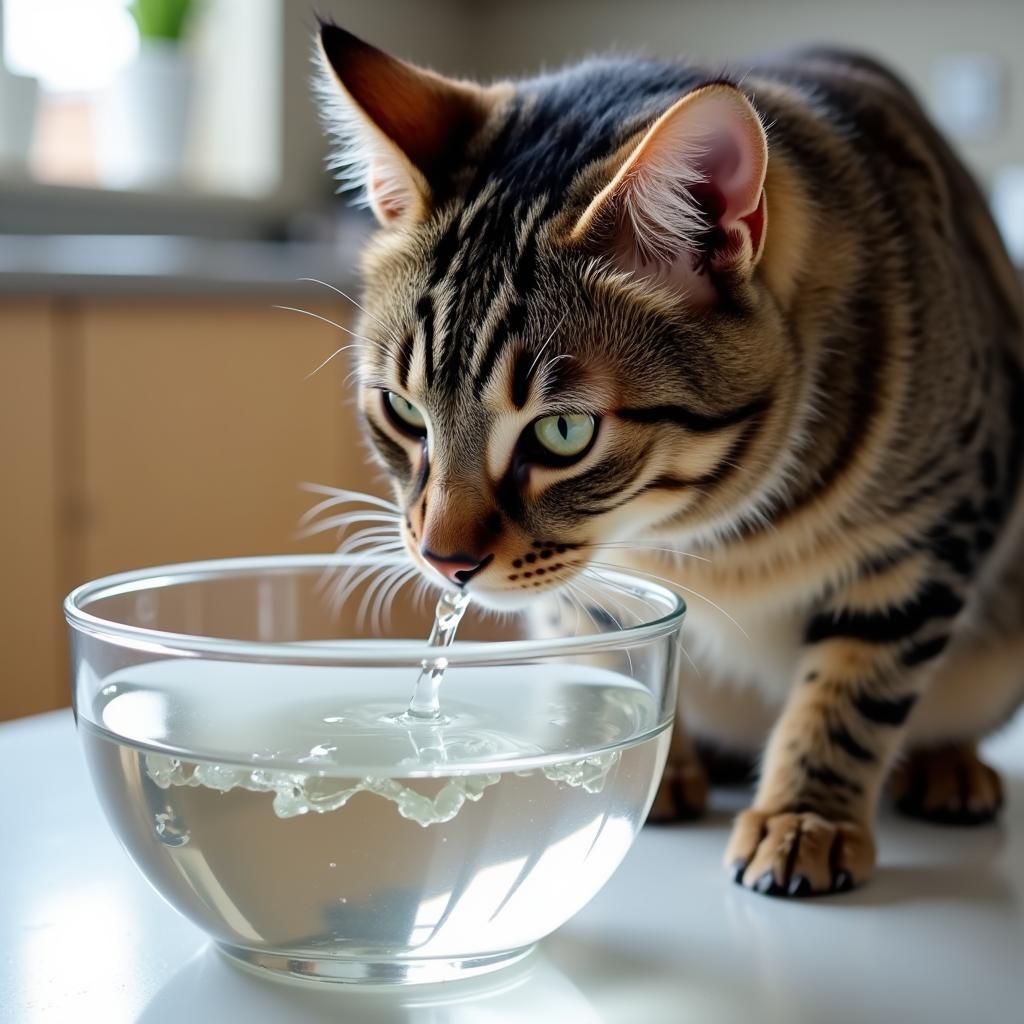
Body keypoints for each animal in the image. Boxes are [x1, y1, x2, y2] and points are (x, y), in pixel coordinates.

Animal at [313, 16, 1024, 897]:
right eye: (404, 411)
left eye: (563, 433)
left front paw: (805, 818)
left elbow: (855, 691)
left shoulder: (930, 536)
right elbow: (606, 643)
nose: (445, 561)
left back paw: (947, 767)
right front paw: (640, 763)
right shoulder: (592, 589)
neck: (703, 530)